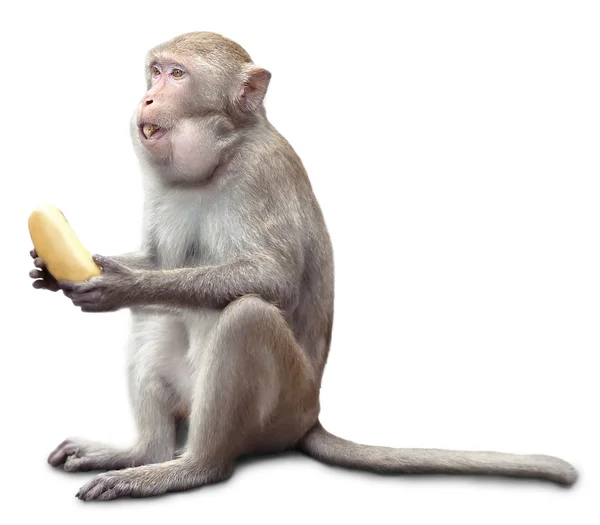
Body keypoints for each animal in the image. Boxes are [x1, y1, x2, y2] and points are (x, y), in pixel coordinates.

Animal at [29, 29, 576, 500]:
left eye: (178, 75)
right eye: (155, 71)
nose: (146, 99)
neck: (220, 157)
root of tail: (311, 416)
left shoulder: (260, 173)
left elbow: (272, 280)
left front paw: (123, 284)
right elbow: (159, 261)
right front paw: (58, 271)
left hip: (281, 410)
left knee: (246, 317)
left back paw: (190, 467)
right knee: (158, 314)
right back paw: (143, 452)